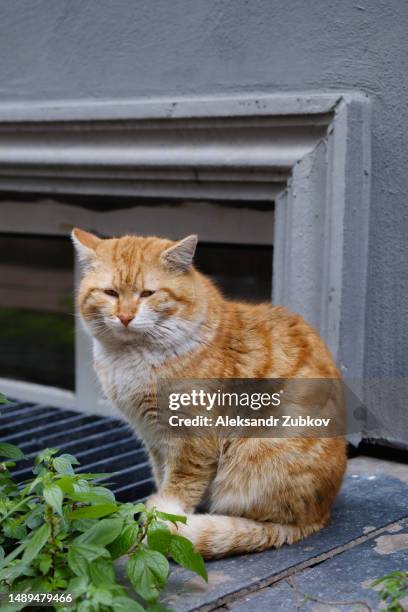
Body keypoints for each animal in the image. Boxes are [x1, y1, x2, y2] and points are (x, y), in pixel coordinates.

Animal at [72, 227, 344, 556]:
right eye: (111, 293)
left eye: (147, 294)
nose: (125, 317)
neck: (129, 359)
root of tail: (319, 516)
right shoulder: (153, 438)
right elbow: (161, 476)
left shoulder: (191, 440)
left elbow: (179, 486)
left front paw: (163, 518)